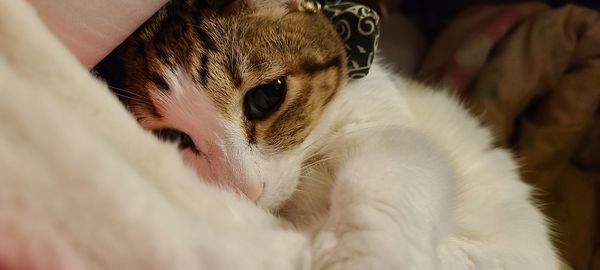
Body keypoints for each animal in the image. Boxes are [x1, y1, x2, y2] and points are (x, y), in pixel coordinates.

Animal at [92, 0, 556, 266]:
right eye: (174, 139)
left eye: (266, 97)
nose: (248, 190)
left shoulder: (390, 131)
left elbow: (389, 171)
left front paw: (366, 257)